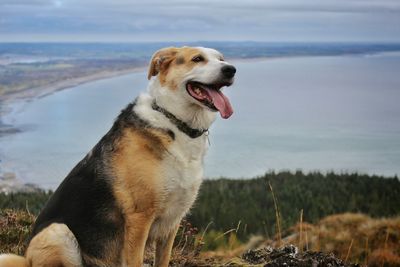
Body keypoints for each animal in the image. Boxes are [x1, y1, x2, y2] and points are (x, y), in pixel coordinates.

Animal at [0, 46, 234, 267]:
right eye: (197, 59)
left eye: (221, 59)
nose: (231, 69)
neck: (174, 121)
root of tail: (27, 258)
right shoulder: (139, 217)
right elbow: (135, 260)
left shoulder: (172, 221)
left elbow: (163, 260)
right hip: (57, 232)